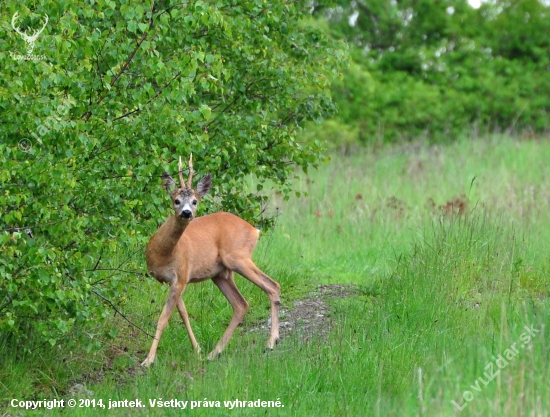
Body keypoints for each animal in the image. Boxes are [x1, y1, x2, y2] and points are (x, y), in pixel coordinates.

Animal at [142, 155, 280, 364]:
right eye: (176, 200)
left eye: (194, 201)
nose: (186, 213)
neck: (163, 253)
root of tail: (254, 230)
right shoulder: (174, 280)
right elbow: (183, 313)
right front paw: (197, 350)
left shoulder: (181, 277)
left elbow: (163, 318)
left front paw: (148, 361)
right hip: (221, 273)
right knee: (241, 304)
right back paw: (214, 353)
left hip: (238, 258)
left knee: (272, 286)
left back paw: (271, 343)